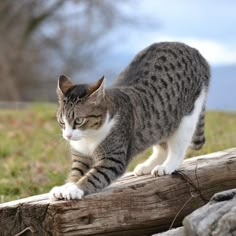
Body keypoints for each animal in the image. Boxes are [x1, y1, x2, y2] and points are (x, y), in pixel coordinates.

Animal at [48, 41, 209, 200]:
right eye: (61, 121)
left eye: (79, 120)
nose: (67, 136)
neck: (89, 137)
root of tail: (194, 50)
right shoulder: (81, 157)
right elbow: (76, 173)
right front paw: (65, 186)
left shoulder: (113, 159)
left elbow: (92, 177)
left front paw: (74, 189)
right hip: (160, 121)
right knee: (161, 144)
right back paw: (147, 166)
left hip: (187, 115)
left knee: (178, 147)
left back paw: (167, 166)